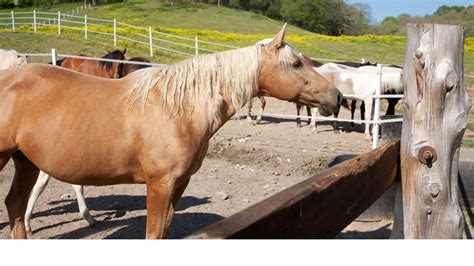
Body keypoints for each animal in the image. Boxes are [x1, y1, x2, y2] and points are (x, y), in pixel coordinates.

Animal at [0, 24, 342, 239]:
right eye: (296, 64)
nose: (336, 97)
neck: (178, 109)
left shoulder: (178, 185)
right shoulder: (160, 185)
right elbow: (153, 234)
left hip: (26, 161)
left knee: (15, 205)